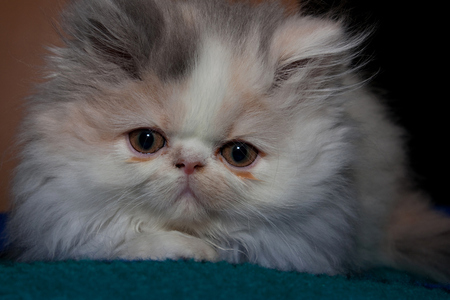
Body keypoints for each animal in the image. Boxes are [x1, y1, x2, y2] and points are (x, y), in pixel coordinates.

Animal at [6, 0, 450, 284]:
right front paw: (187, 250)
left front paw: (206, 251)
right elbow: (126, 239)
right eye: (146, 141)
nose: (189, 162)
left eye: (239, 154)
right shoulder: (62, 225)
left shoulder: (305, 237)